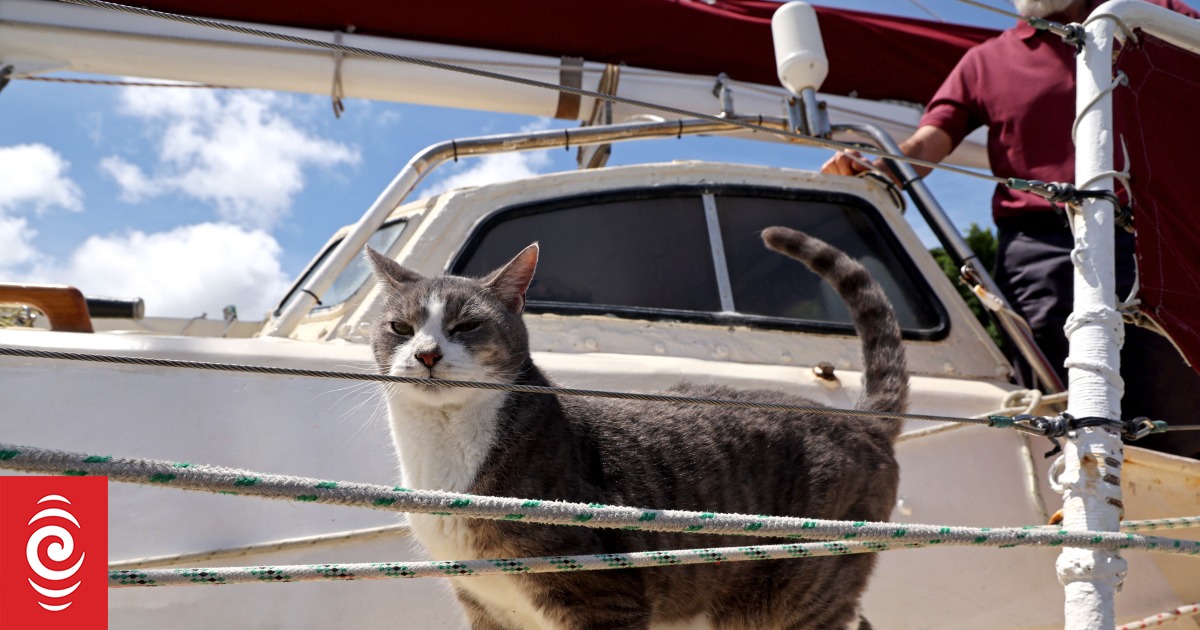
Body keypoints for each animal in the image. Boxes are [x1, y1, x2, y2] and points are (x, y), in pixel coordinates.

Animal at [364, 225, 907, 628]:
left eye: (466, 326)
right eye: (400, 328)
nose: (426, 354)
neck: (446, 449)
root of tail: (862, 420)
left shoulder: (602, 596)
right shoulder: (486, 607)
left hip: (799, 591)